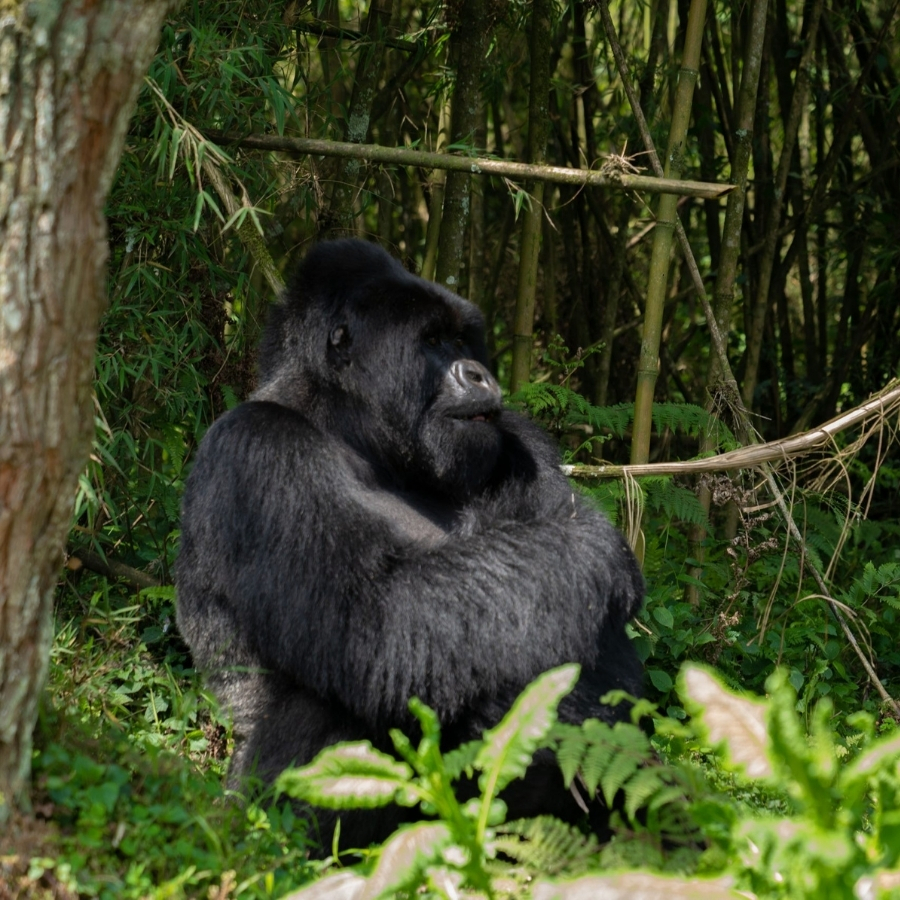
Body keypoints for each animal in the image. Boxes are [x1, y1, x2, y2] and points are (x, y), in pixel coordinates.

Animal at [176, 239, 644, 852]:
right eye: (432, 341)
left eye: (463, 340)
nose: (480, 373)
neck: (349, 427)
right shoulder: (258, 451)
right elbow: (376, 624)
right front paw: (594, 551)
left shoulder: (517, 436)